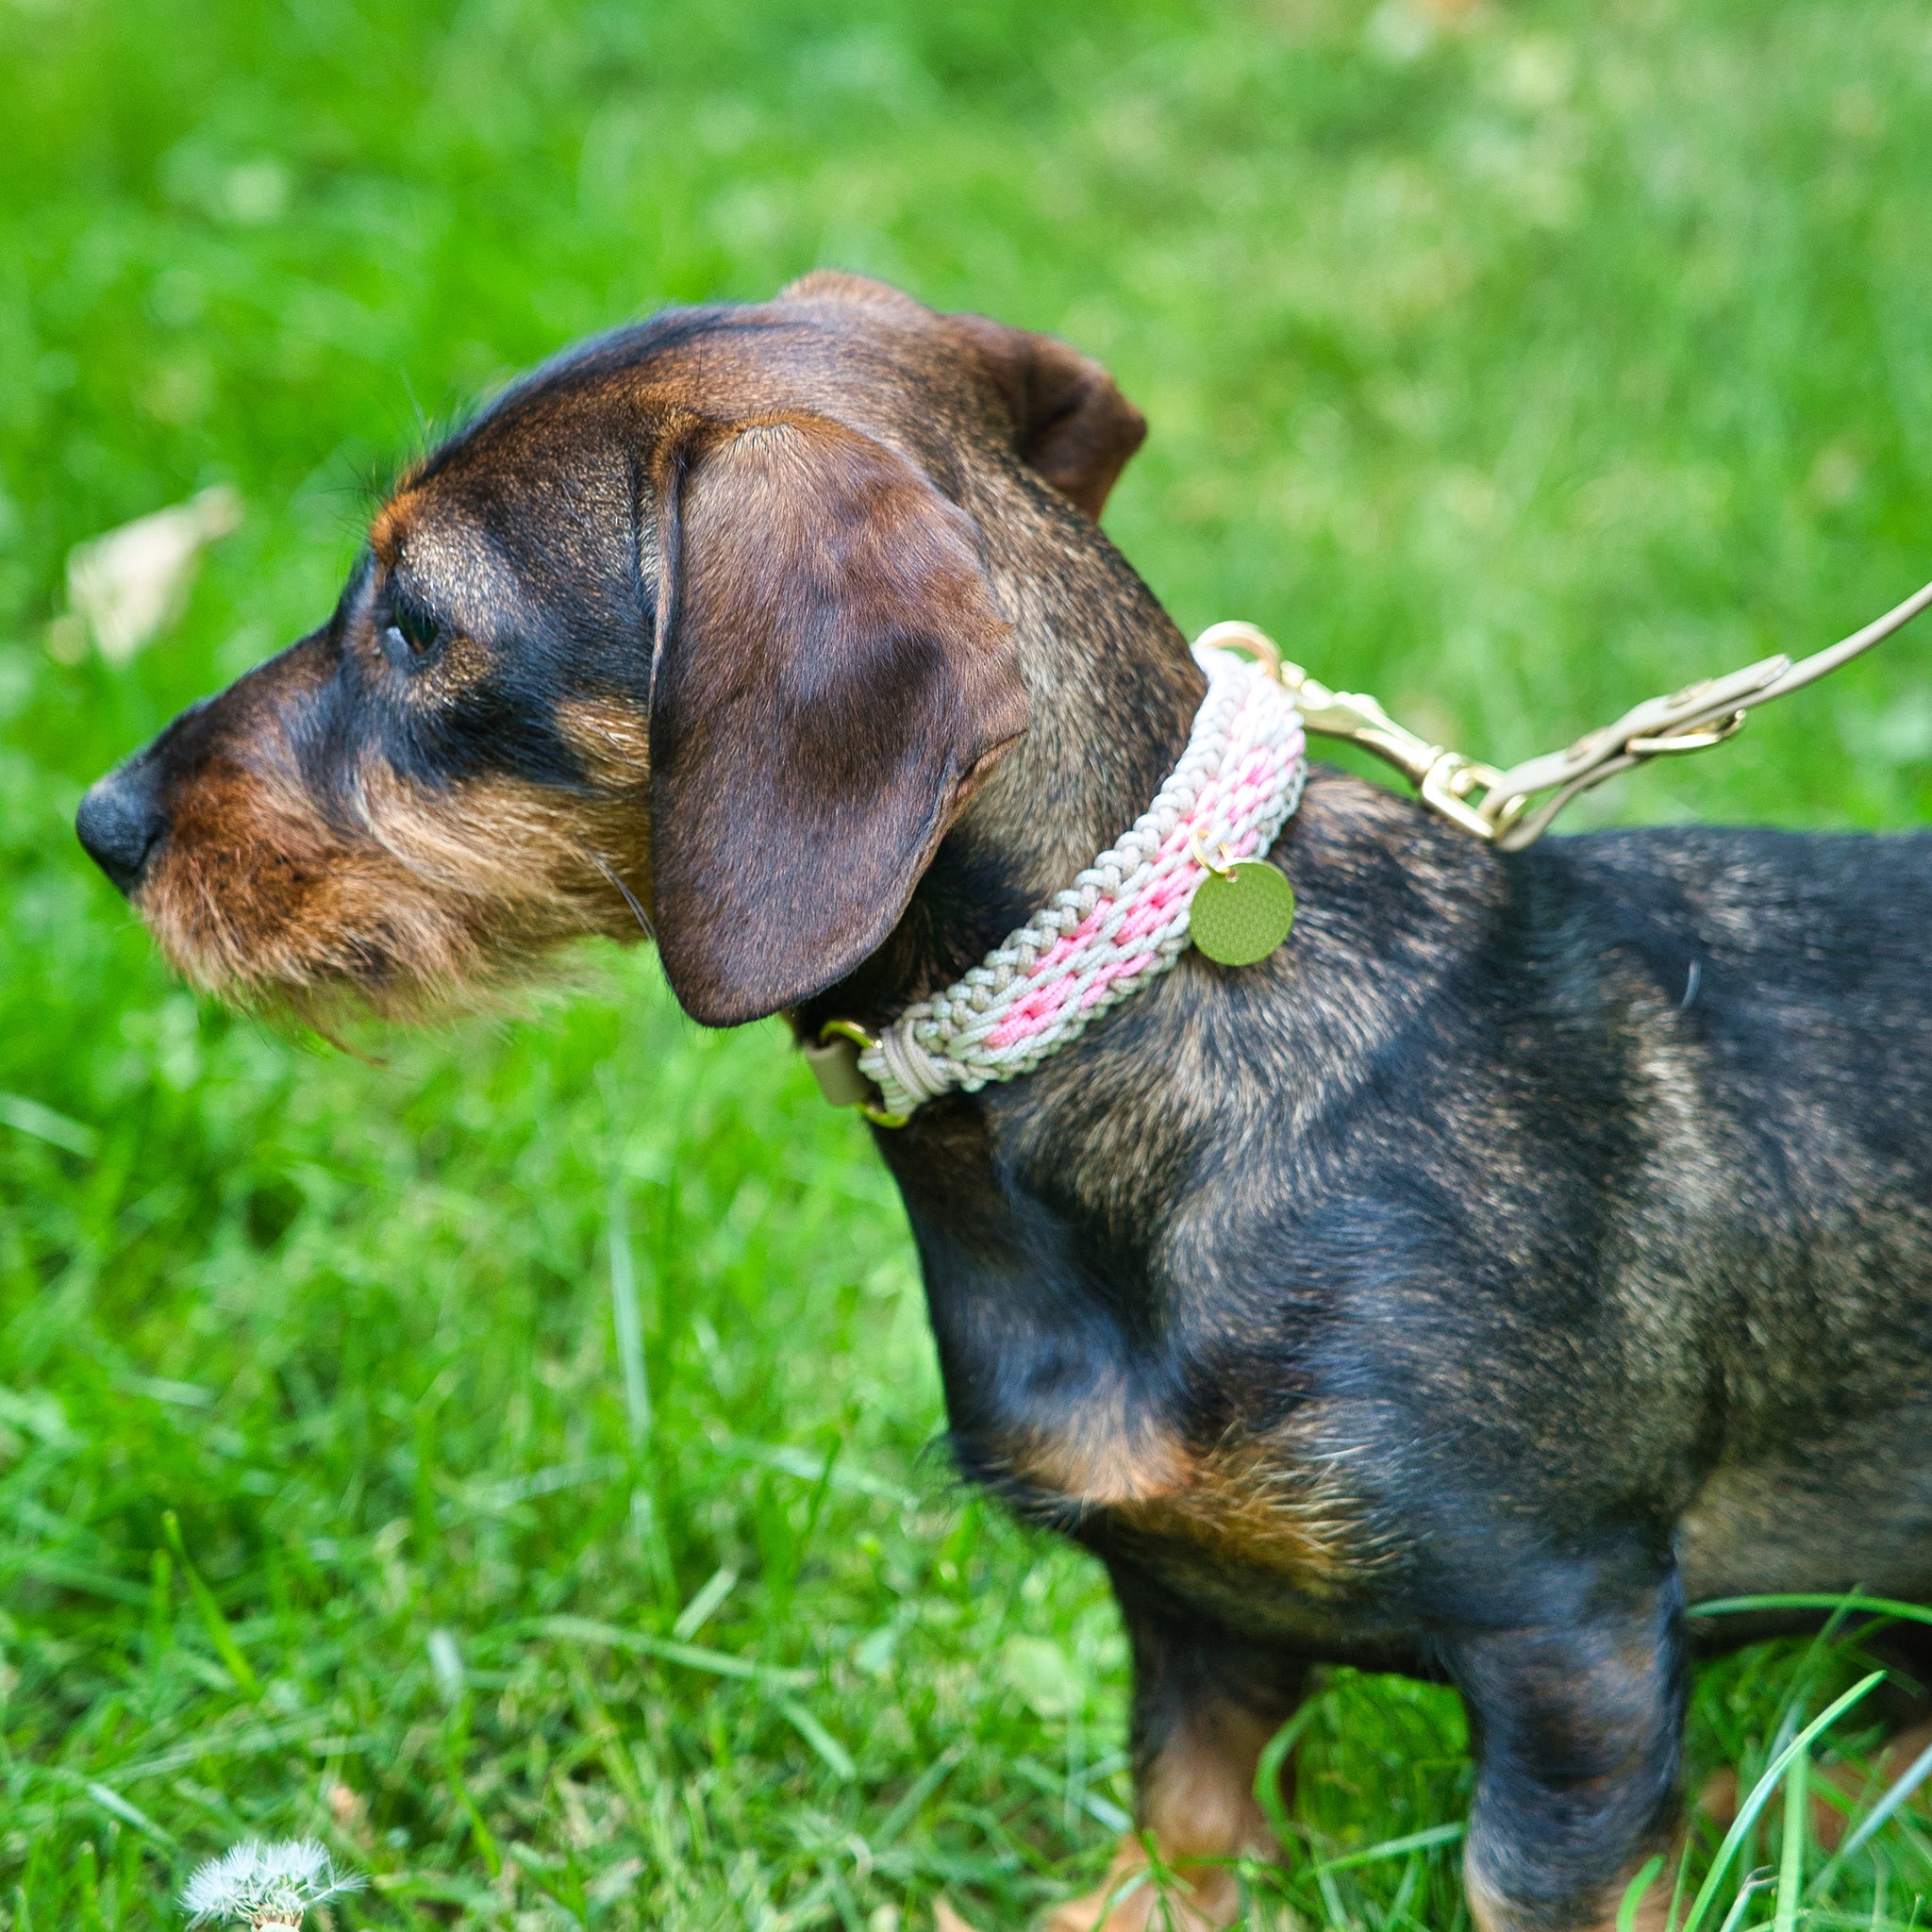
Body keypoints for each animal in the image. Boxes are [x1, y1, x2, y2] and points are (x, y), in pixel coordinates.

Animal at [71, 275, 1932, 1932]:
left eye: (416, 625)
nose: (100, 824)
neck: (1150, 1039)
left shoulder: (1571, 1637)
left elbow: (1527, 1877)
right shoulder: (1184, 1615)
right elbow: (1184, 1815)